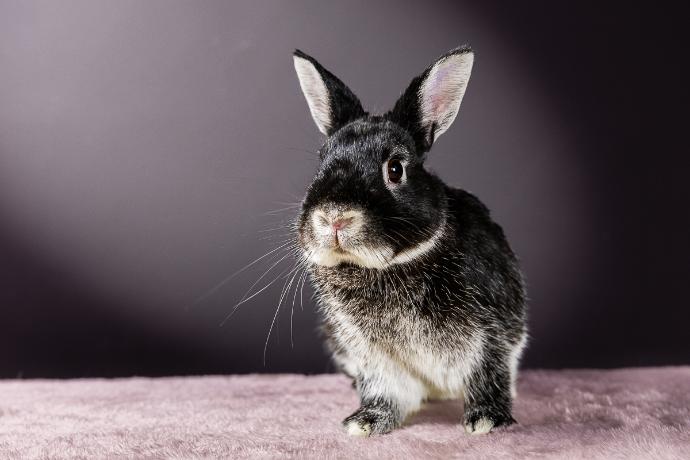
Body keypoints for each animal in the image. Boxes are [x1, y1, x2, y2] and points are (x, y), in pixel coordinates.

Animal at [290, 47, 528, 438]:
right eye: (321, 162)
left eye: (395, 169)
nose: (334, 217)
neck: (387, 266)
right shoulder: (369, 352)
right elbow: (385, 389)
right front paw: (367, 422)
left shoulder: (490, 336)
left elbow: (487, 374)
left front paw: (486, 420)